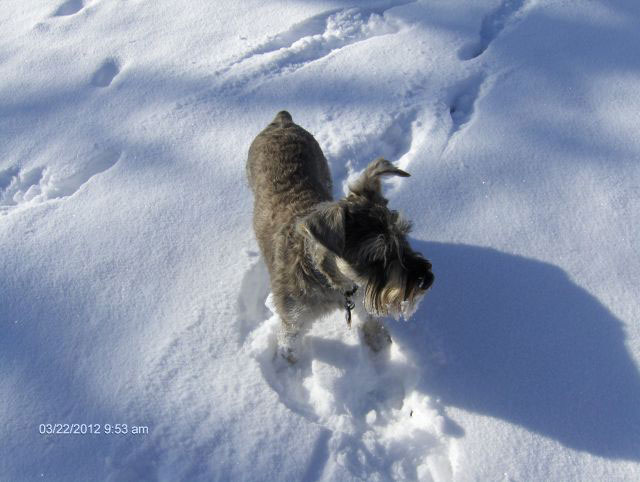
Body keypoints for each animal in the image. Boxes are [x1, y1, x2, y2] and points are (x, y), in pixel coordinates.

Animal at [248, 112, 432, 362]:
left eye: (403, 234)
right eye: (375, 256)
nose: (427, 279)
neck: (331, 281)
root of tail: (282, 120)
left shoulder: (361, 294)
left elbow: (371, 319)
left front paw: (378, 340)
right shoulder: (293, 321)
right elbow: (290, 344)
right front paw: (289, 362)